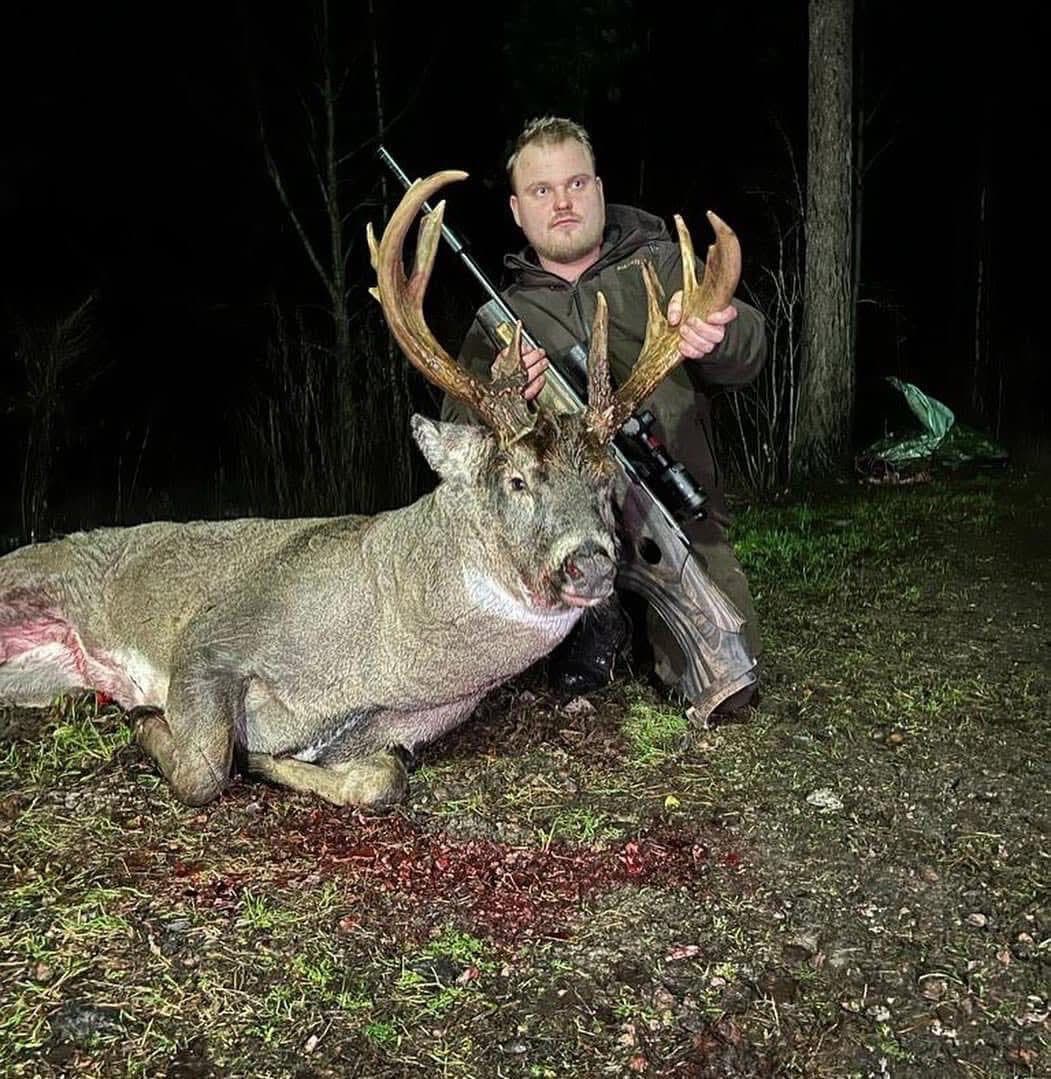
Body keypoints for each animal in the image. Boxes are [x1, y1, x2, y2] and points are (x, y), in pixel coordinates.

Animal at [0, 169, 741, 807]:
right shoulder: (209, 638)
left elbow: (380, 777)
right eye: (516, 479)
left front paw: (276, 760)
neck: (371, 656)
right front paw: (152, 724)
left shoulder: (404, 727)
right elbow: (207, 768)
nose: (590, 564)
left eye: (606, 480)